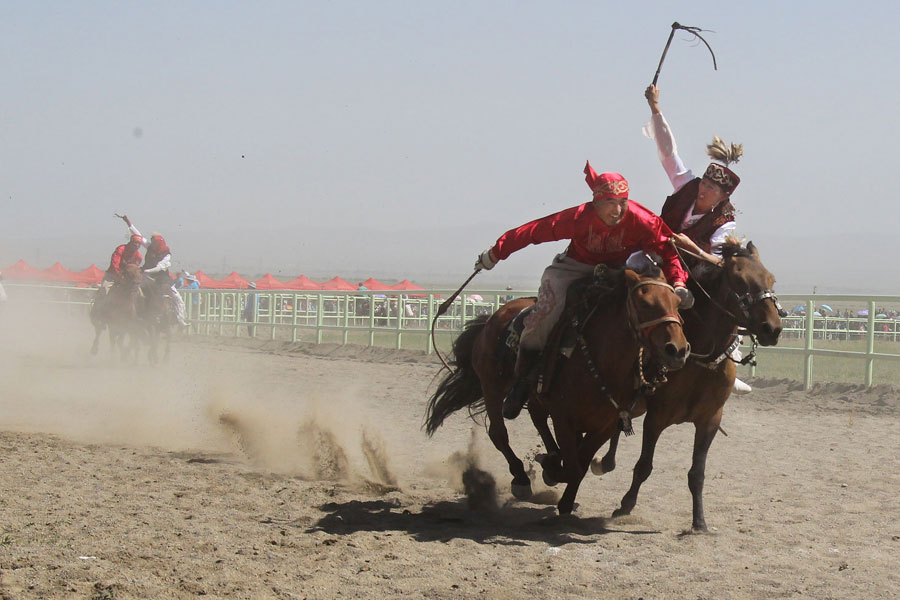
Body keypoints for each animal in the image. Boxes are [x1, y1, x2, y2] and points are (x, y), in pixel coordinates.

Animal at [426, 268, 692, 510]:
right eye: (645, 303)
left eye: (678, 303)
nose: (678, 350)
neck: (602, 361)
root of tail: (493, 318)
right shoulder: (564, 419)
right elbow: (573, 466)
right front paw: (553, 473)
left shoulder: (605, 425)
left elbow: (580, 463)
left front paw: (564, 496)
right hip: (492, 386)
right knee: (499, 433)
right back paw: (522, 477)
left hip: (534, 397)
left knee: (537, 418)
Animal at [592, 241, 780, 532]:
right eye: (740, 280)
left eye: (770, 279)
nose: (773, 328)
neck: (700, 359)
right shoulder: (656, 418)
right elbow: (644, 466)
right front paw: (625, 505)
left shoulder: (710, 421)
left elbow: (697, 473)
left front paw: (699, 521)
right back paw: (603, 463)